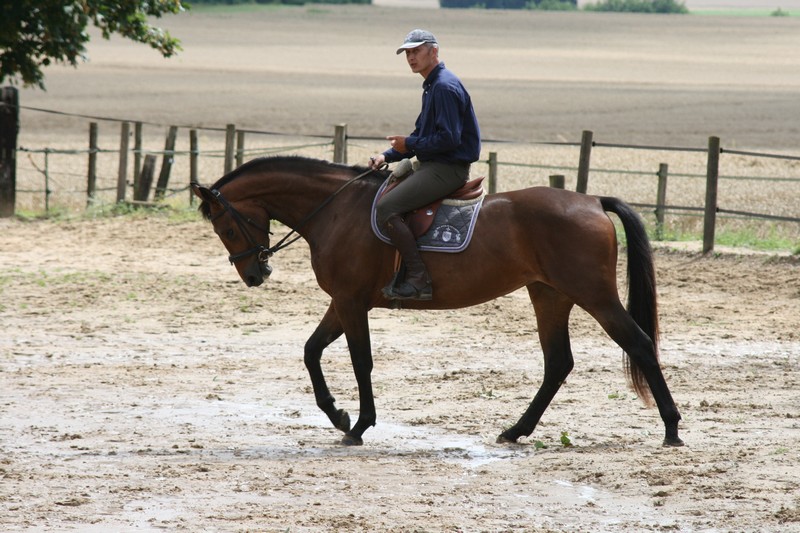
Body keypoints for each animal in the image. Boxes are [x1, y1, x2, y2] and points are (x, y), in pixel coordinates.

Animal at [191, 154, 684, 444]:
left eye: (227, 227)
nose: (255, 274)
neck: (336, 209)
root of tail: (592, 201)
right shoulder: (342, 302)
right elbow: (312, 351)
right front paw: (338, 415)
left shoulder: (351, 303)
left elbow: (360, 361)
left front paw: (358, 426)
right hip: (550, 296)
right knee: (558, 363)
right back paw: (515, 430)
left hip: (594, 296)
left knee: (639, 344)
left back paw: (672, 428)